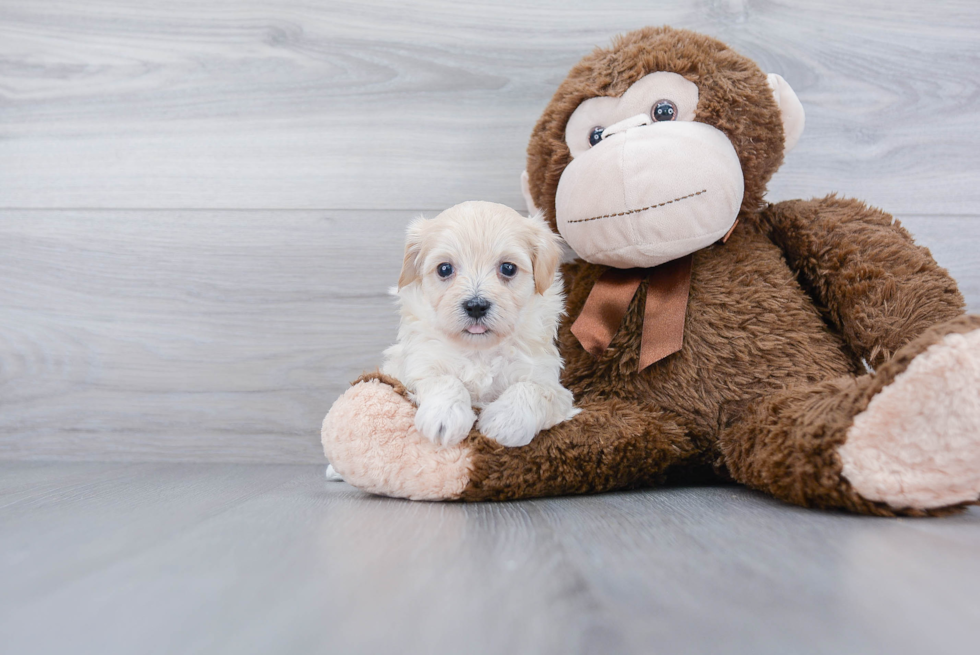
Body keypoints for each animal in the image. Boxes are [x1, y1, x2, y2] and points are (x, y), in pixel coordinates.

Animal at [378, 200, 580, 446]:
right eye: (444, 269)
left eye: (508, 268)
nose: (475, 306)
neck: (479, 351)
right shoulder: (413, 366)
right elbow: (442, 379)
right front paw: (445, 415)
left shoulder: (552, 385)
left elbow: (531, 389)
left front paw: (505, 421)